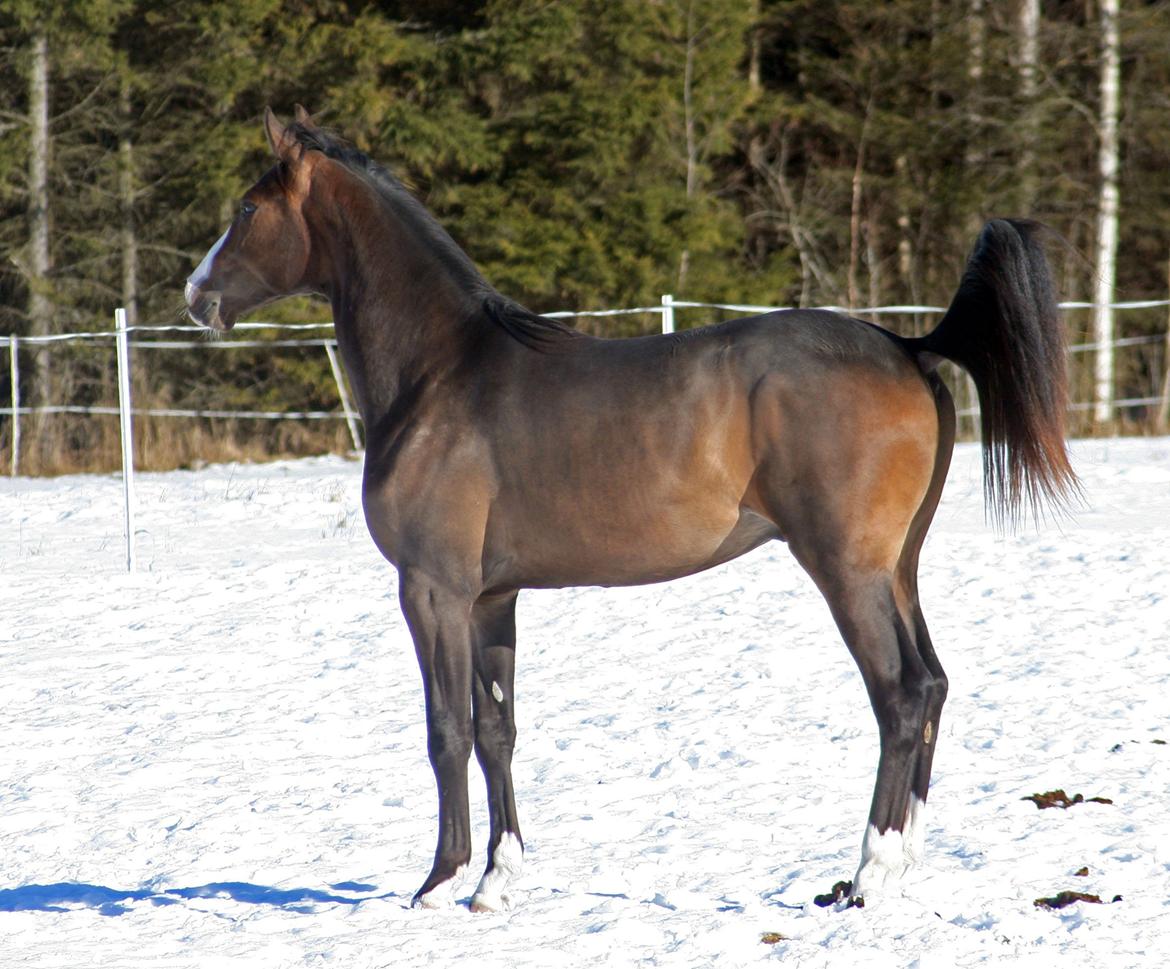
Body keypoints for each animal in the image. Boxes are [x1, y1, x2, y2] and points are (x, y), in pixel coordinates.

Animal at [184, 110, 1076, 912]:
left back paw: (867, 875)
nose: (196, 296)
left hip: (847, 572)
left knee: (901, 695)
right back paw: (898, 871)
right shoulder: (491, 597)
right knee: (935, 684)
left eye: (247, 209)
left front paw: (437, 882)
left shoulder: (432, 588)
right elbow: (496, 729)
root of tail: (909, 346)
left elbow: (446, 730)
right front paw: (496, 882)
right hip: (898, 568)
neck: (440, 374)